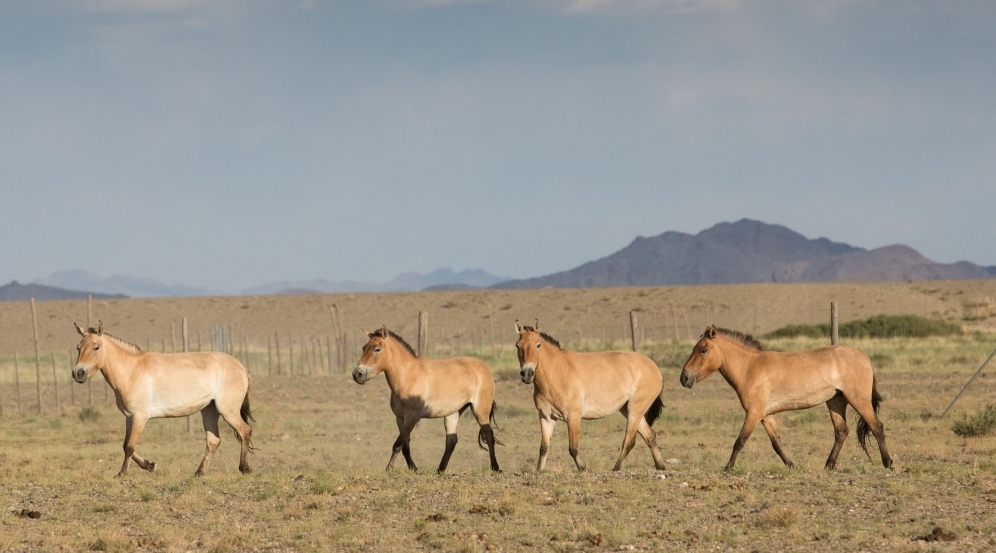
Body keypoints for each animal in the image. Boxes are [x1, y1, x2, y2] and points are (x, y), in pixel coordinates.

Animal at [72, 322, 255, 476]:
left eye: (96, 347)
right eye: (78, 347)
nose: (78, 373)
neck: (132, 371)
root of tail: (240, 366)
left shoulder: (140, 417)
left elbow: (129, 446)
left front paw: (122, 473)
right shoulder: (129, 417)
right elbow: (125, 445)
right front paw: (149, 465)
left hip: (227, 411)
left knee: (244, 431)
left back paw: (244, 468)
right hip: (209, 410)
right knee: (213, 441)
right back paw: (199, 473)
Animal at [354, 326, 502, 472]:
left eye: (377, 349)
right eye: (363, 348)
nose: (357, 374)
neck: (408, 376)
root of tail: (484, 368)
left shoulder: (412, 417)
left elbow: (397, 444)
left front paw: (389, 469)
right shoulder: (400, 418)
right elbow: (405, 445)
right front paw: (413, 469)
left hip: (480, 410)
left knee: (488, 435)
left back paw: (495, 467)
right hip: (453, 413)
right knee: (451, 440)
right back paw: (440, 470)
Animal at [512, 320, 668, 470]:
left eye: (538, 345)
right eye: (518, 346)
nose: (527, 374)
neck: (557, 373)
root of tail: (654, 368)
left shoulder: (573, 417)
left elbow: (573, 448)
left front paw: (582, 468)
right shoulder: (546, 417)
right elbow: (544, 448)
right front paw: (539, 470)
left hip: (635, 410)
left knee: (629, 441)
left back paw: (616, 468)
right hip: (629, 410)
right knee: (650, 436)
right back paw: (660, 466)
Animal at [676, 324, 896, 470]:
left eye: (703, 349)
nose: (684, 378)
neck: (750, 368)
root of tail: (864, 357)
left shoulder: (754, 413)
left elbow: (740, 441)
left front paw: (728, 468)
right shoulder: (766, 416)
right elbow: (776, 443)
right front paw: (791, 464)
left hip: (858, 400)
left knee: (877, 426)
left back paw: (888, 463)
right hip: (835, 401)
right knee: (841, 432)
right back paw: (829, 465)